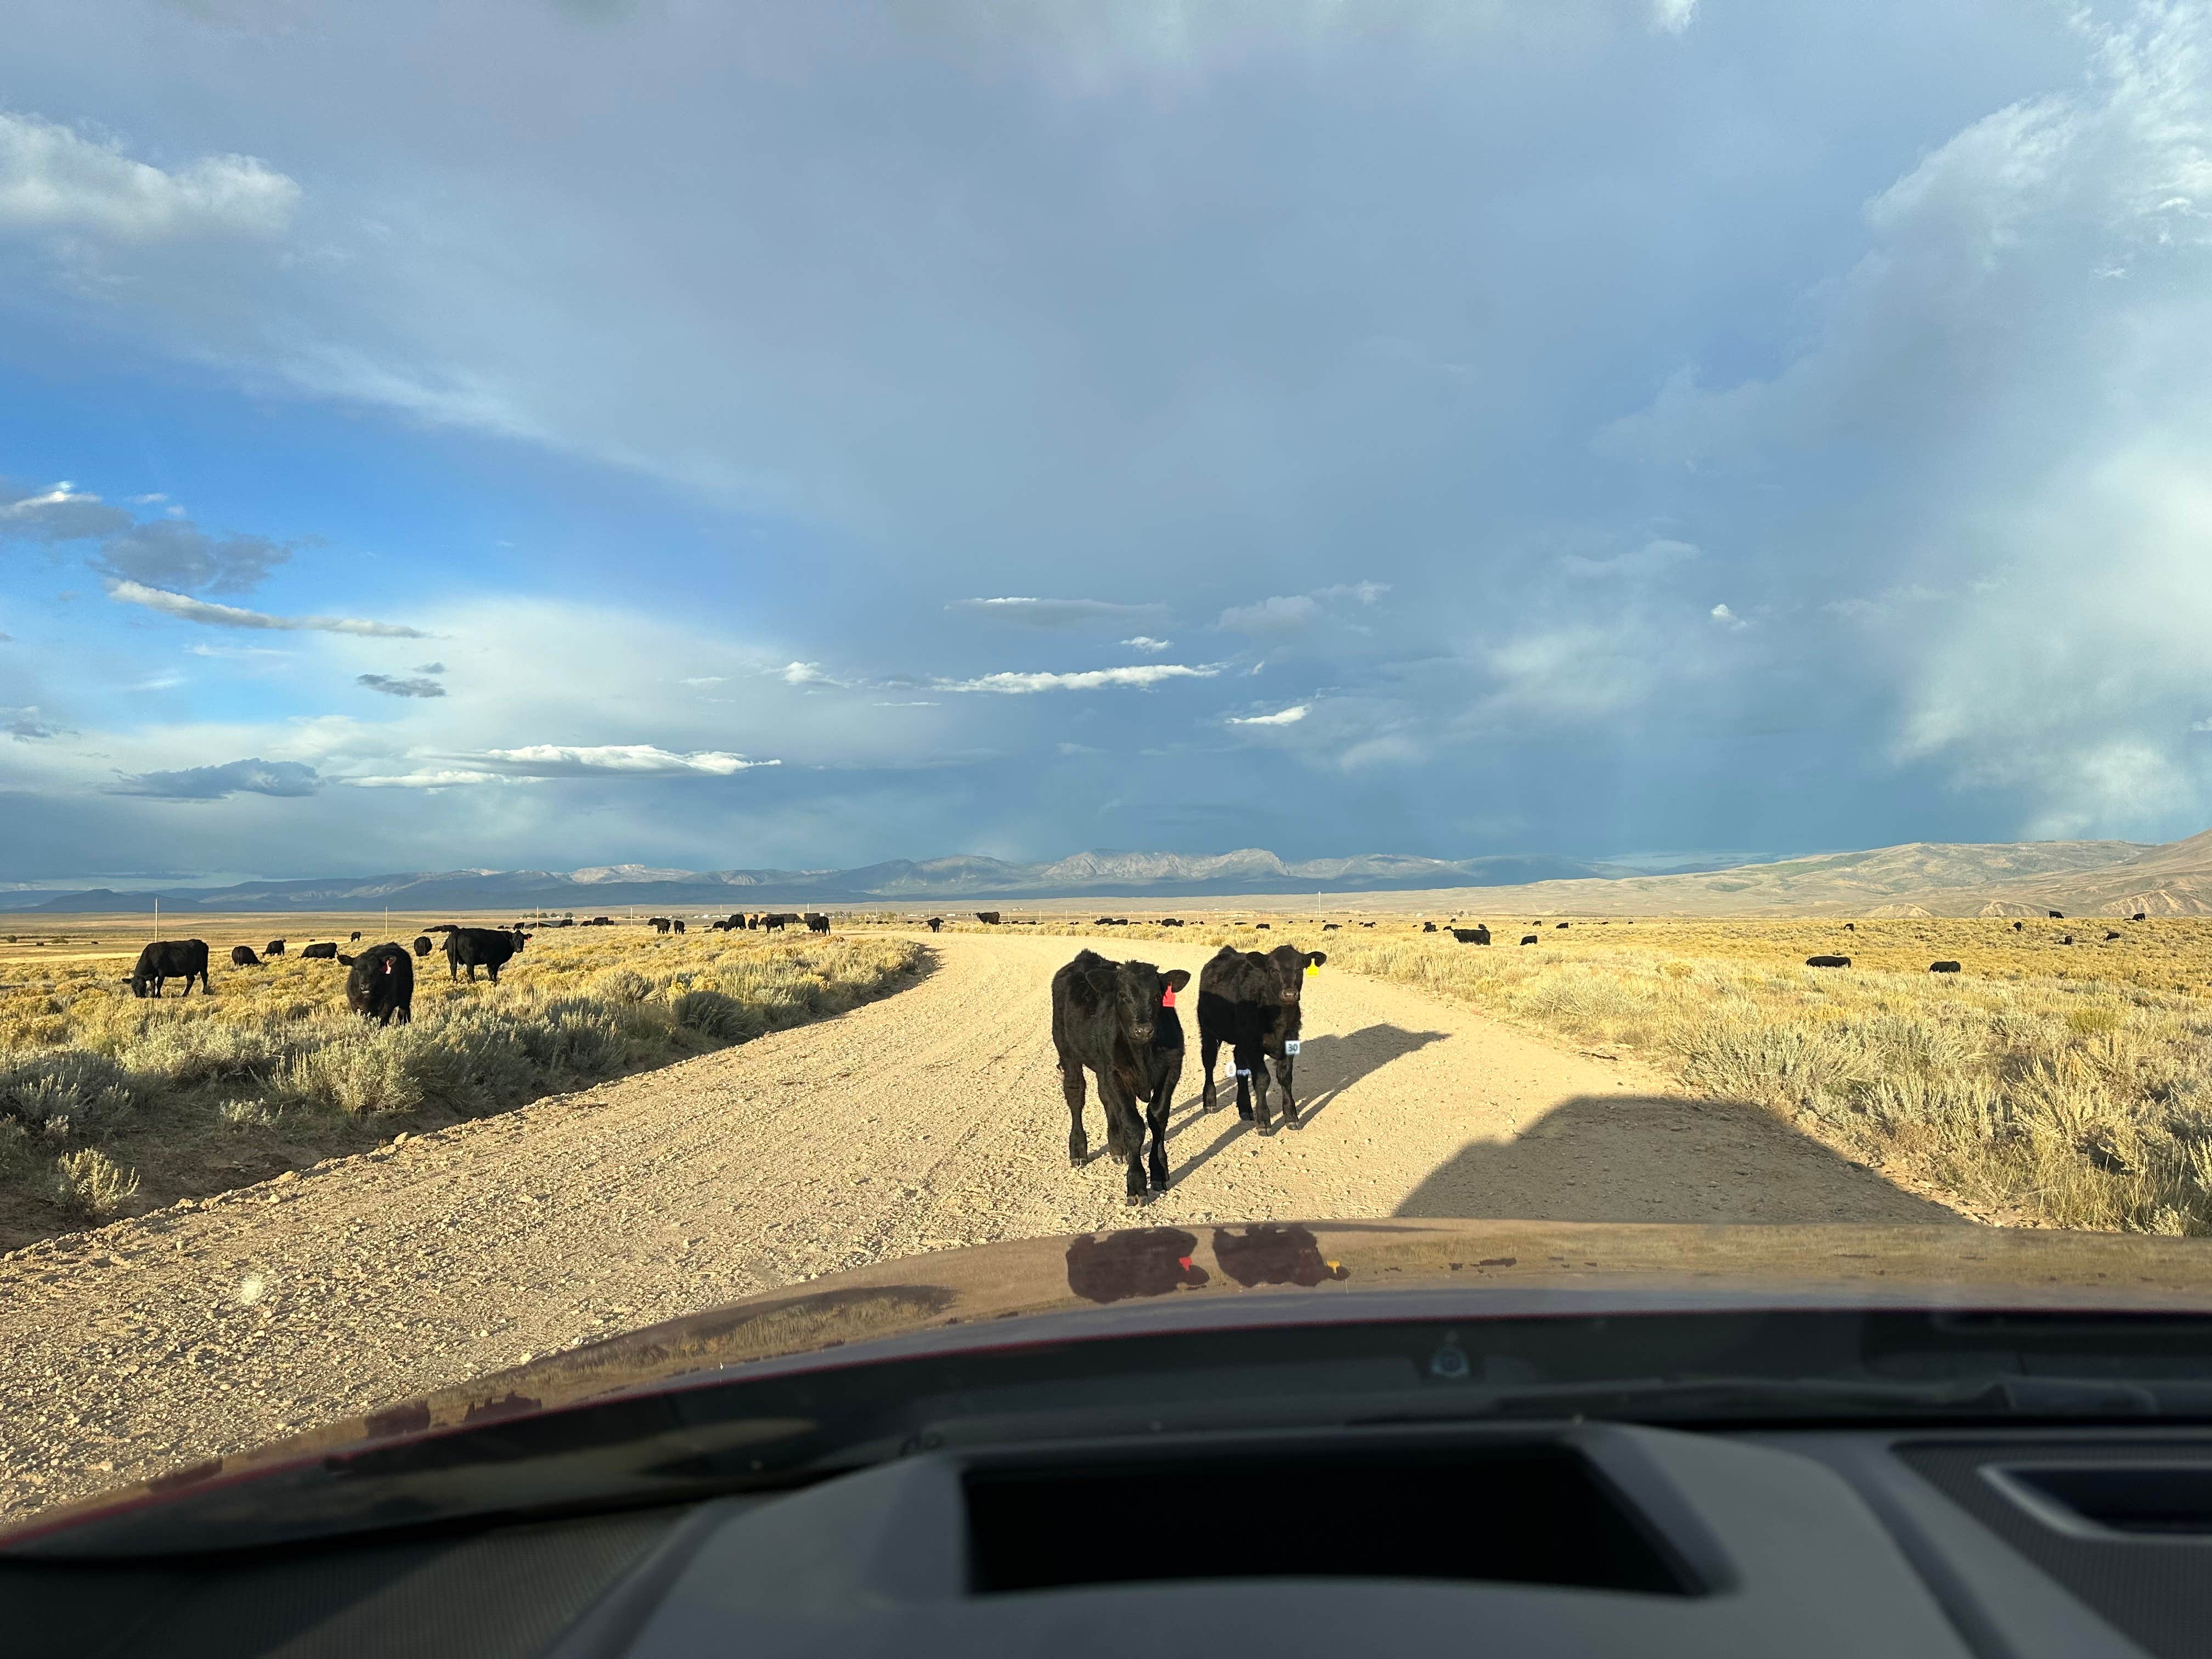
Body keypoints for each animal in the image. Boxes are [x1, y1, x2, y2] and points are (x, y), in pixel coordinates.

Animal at [130, 938, 210, 1000]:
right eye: (133, 987)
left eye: (143, 985)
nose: (139, 996)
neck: (151, 957)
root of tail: (202, 943)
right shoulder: (152, 975)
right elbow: (153, 985)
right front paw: (153, 995)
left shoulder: (162, 972)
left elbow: (159, 984)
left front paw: (158, 996)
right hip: (189, 971)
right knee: (191, 981)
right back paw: (185, 994)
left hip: (203, 967)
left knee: (204, 977)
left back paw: (204, 992)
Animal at [340, 946, 416, 1026]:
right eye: (356, 969)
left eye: (376, 969)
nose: (366, 986)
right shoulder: (355, 1005)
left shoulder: (387, 1005)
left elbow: (382, 1022)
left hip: (406, 998)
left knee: (404, 1014)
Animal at [444, 924, 522, 986]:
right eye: (514, 939)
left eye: (522, 939)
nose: (519, 949)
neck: (506, 940)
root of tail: (459, 931)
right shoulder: (495, 962)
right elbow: (494, 972)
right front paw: (494, 981)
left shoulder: (490, 962)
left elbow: (491, 971)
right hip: (470, 961)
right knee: (470, 970)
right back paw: (473, 982)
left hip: (452, 958)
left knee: (453, 968)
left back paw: (455, 981)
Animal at [1053, 946, 1194, 1212]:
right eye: (1122, 995)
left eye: (1158, 996)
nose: (1143, 1030)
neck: (1143, 1052)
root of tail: (1084, 958)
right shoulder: (1117, 1075)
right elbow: (1134, 1126)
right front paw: (1137, 1185)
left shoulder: (1171, 1071)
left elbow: (1158, 1119)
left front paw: (1159, 1172)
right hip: (1068, 1052)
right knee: (1076, 1095)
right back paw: (1078, 1150)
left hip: (1102, 1066)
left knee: (1106, 1099)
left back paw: (1117, 1148)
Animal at [1203, 942, 1318, 1141]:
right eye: (1273, 970)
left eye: (1300, 968)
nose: (1290, 994)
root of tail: (1227, 952)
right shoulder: (1254, 1046)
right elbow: (1263, 1079)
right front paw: (1264, 1122)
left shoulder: (1290, 1042)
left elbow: (1286, 1078)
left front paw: (1292, 1118)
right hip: (1208, 1031)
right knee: (1209, 1063)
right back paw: (1210, 1102)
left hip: (1240, 1042)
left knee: (1240, 1066)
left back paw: (1245, 1108)